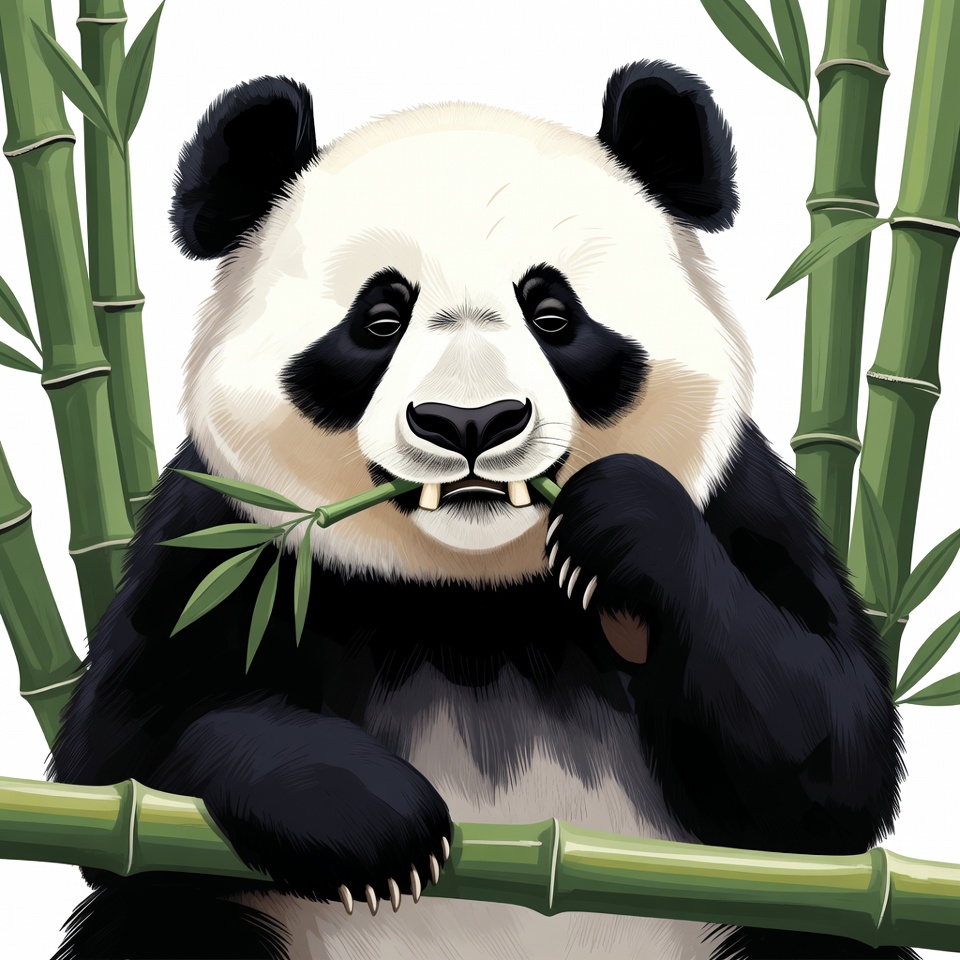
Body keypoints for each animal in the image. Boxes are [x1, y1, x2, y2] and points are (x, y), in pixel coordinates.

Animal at [50, 62, 913, 960]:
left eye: (553, 315)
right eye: (380, 320)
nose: (472, 422)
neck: (474, 600)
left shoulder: (744, 498)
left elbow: (826, 757)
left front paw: (621, 520)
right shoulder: (227, 532)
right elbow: (126, 750)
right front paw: (373, 817)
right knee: (158, 915)